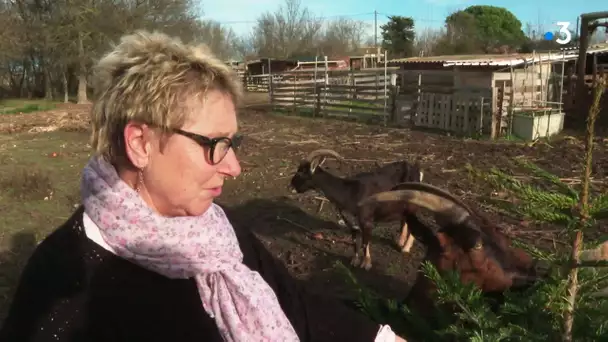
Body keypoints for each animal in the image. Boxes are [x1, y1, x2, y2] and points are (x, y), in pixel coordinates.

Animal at [290, 149, 428, 270]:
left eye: (301, 172)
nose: (291, 185)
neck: (349, 192)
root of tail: (417, 171)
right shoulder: (350, 221)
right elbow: (354, 241)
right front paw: (354, 261)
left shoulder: (366, 221)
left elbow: (365, 243)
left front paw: (366, 264)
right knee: (405, 219)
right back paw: (400, 242)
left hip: (413, 202)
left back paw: (405, 248)